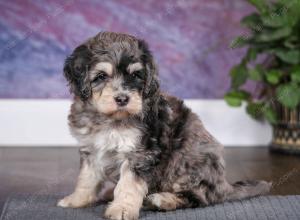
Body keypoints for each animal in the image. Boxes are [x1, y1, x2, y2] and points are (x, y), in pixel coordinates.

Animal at [57, 31, 270, 219]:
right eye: (101, 76)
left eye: (136, 75)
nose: (123, 99)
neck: (110, 119)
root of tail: (224, 186)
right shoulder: (91, 149)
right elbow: (86, 178)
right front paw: (76, 200)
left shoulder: (140, 153)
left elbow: (128, 184)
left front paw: (122, 209)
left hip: (185, 165)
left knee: (198, 197)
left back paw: (161, 200)